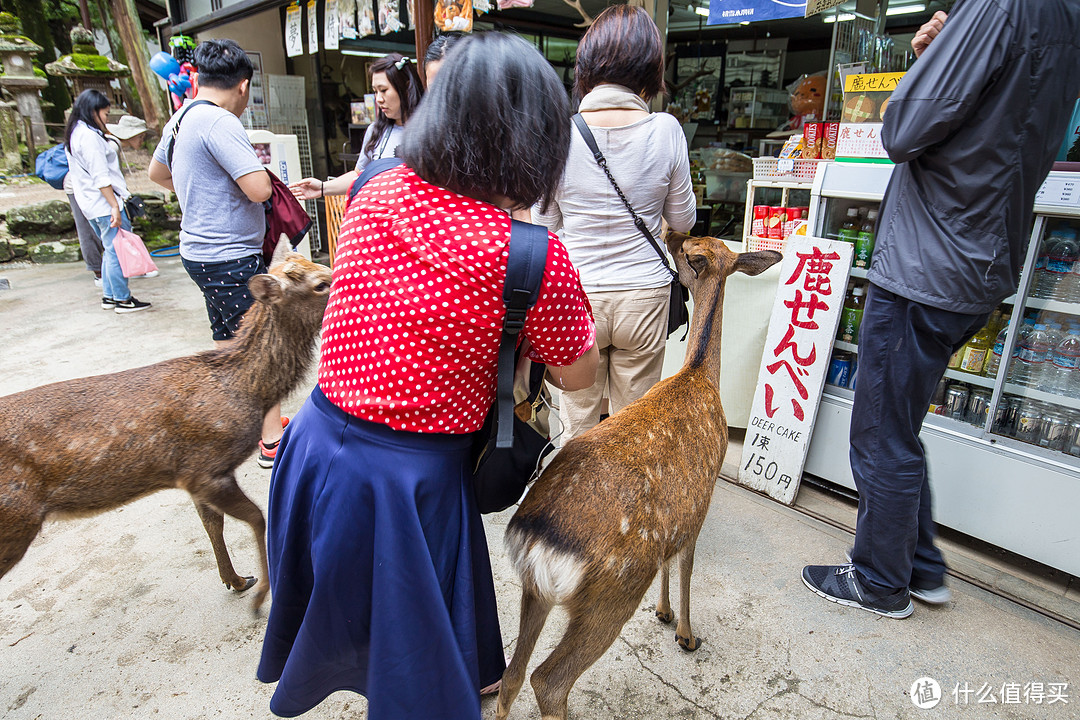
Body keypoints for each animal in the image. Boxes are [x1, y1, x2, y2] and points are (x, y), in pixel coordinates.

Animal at [0, 239, 332, 613]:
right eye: (321, 284)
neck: (246, 389)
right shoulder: (205, 468)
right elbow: (257, 517)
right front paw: (261, 594)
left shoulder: (190, 475)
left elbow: (212, 523)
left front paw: (235, 580)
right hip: (13, 516)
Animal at [494, 232, 781, 720]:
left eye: (695, 245)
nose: (671, 234)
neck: (700, 375)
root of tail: (537, 538)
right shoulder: (702, 499)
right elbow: (685, 565)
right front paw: (686, 633)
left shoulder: (679, 514)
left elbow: (671, 560)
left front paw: (663, 613)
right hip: (612, 593)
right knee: (547, 680)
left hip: (536, 589)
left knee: (511, 677)